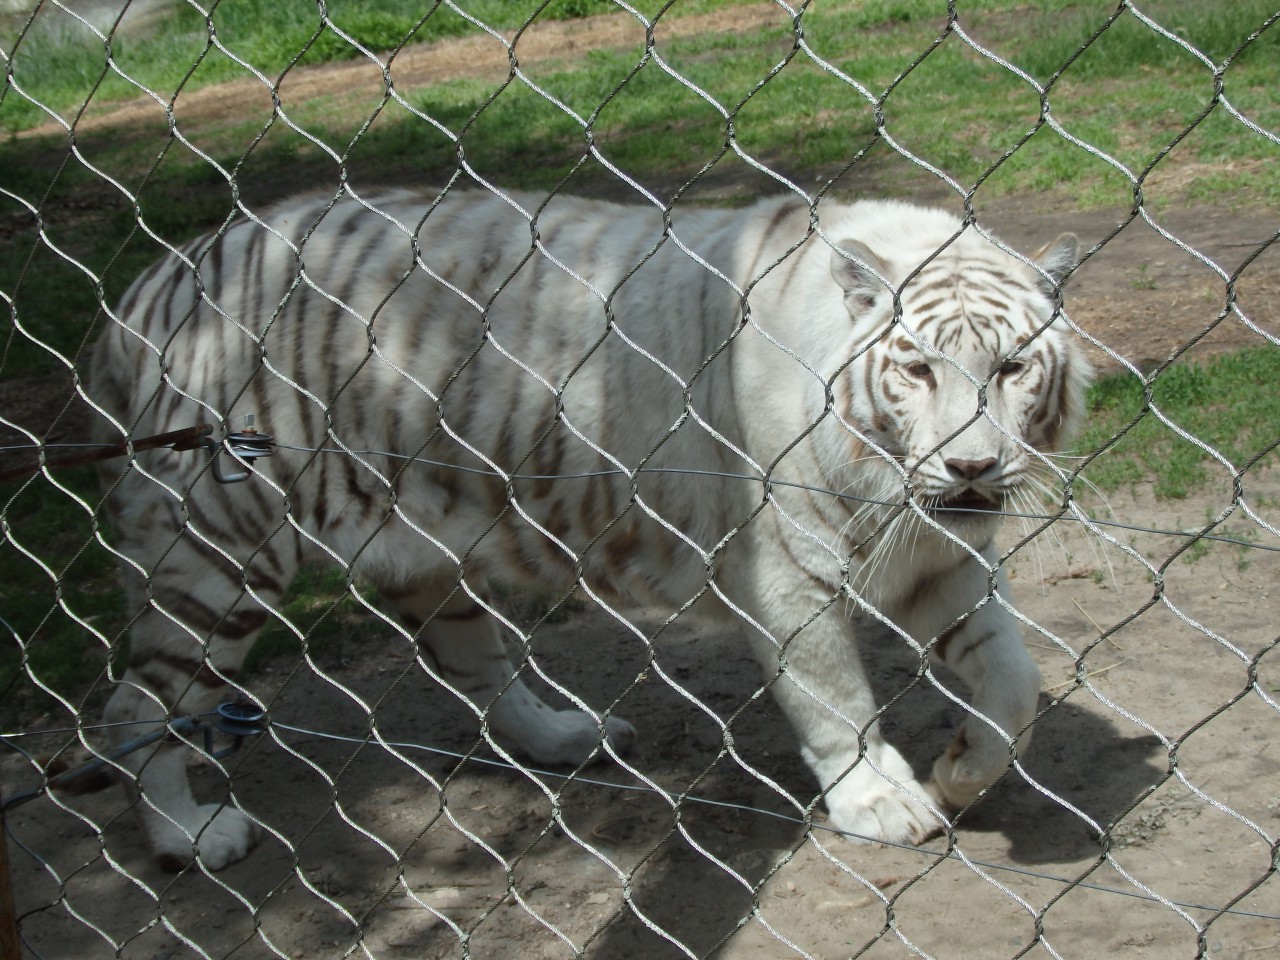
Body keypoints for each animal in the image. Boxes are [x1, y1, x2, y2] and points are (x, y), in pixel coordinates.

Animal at [92, 185, 1090, 870]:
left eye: (1011, 367)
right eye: (917, 368)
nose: (970, 469)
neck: (891, 485)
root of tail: (152, 281)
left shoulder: (945, 559)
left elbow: (1017, 682)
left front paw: (962, 770)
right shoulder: (786, 571)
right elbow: (836, 697)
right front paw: (883, 804)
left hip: (426, 548)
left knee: (477, 670)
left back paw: (569, 739)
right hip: (220, 551)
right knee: (133, 707)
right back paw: (188, 834)